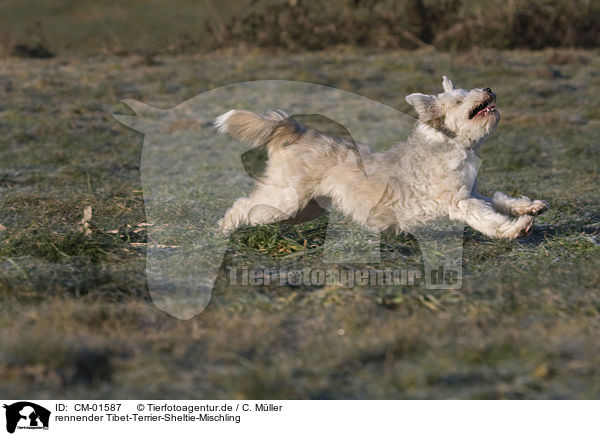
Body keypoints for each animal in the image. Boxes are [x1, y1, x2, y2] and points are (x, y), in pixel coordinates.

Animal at [216, 75, 548, 238]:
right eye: (459, 99)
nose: (488, 88)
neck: (452, 145)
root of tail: (298, 130)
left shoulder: (472, 193)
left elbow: (498, 200)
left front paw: (528, 206)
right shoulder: (459, 202)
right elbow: (488, 219)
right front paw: (516, 229)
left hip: (306, 208)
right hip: (286, 200)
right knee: (243, 205)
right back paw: (225, 229)